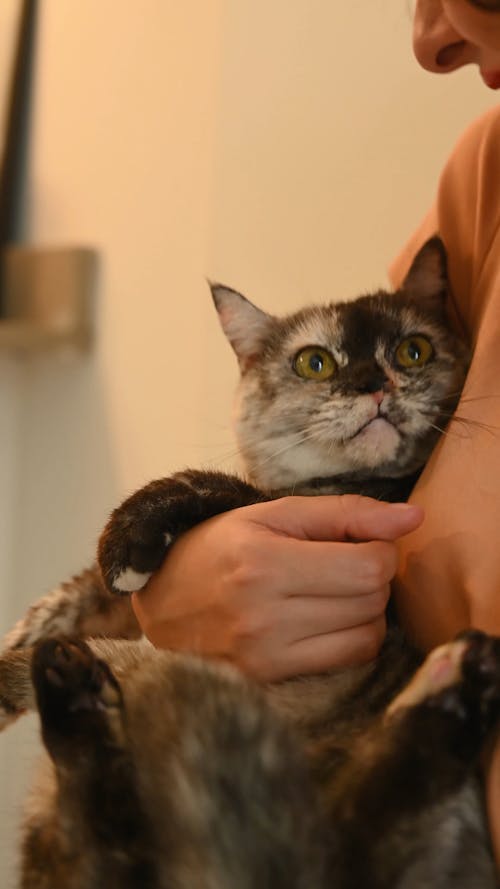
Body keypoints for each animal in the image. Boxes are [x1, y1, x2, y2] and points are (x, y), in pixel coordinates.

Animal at [0, 236, 496, 888]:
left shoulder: (341, 512)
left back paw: (459, 677)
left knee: (353, 842)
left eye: (413, 351)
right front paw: (24, 644)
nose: (374, 383)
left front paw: (128, 534)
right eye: (315, 362)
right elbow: (80, 595)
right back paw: (68, 685)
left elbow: (225, 488)